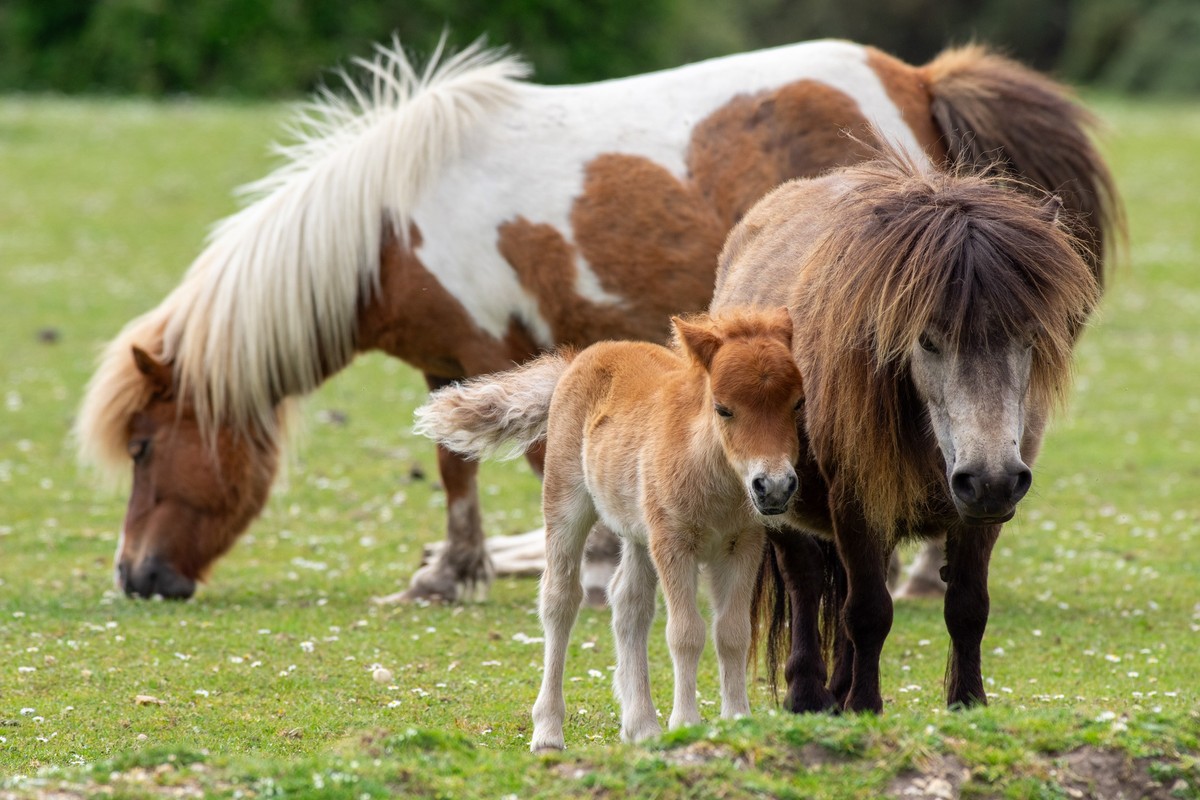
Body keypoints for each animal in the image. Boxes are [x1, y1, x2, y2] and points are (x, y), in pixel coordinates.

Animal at [75, 36, 1120, 602]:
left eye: (144, 448)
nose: (137, 577)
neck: (392, 221)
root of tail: (918, 81)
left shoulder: (492, 349)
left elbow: (494, 466)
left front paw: (488, 571)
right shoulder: (460, 362)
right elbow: (461, 466)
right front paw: (464, 566)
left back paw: (927, 570)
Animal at [413, 308, 804, 750]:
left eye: (797, 404)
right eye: (724, 409)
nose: (774, 486)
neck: (711, 474)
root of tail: (579, 359)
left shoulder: (742, 546)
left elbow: (733, 633)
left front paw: (738, 720)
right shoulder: (673, 544)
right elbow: (685, 633)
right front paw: (686, 724)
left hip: (637, 534)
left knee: (628, 603)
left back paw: (642, 727)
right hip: (566, 505)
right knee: (561, 599)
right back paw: (548, 732)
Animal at [711, 145, 1100, 713]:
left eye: (1028, 336)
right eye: (927, 339)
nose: (990, 478)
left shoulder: (981, 515)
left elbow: (967, 607)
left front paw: (967, 702)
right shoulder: (854, 503)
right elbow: (868, 610)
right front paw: (863, 706)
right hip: (779, 500)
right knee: (806, 581)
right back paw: (809, 694)